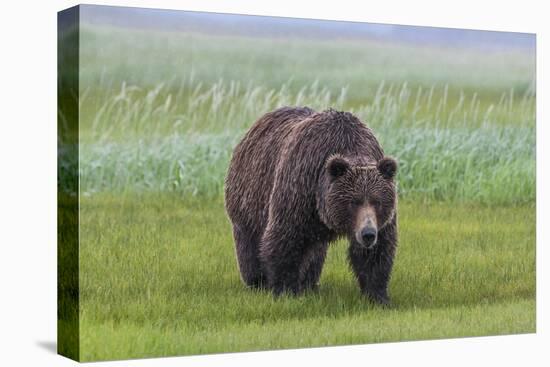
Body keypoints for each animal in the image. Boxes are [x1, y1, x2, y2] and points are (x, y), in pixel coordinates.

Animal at [226, 106, 398, 304]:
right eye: (353, 202)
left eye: (377, 201)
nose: (368, 234)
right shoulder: (300, 188)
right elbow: (285, 239)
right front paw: (285, 290)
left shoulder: (380, 219)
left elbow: (378, 251)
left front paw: (377, 296)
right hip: (250, 196)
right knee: (249, 240)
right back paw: (257, 280)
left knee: (315, 251)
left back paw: (309, 283)